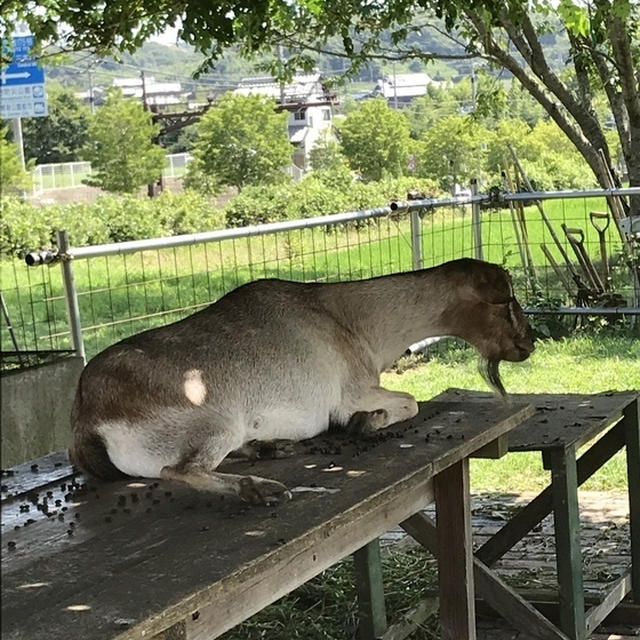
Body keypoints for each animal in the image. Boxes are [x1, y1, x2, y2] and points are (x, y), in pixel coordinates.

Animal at [69, 258, 536, 504]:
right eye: (507, 301)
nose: (529, 342)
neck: (352, 320)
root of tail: (85, 419)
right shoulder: (352, 392)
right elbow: (409, 401)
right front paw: (365, 422)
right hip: (215, 420)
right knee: (177, 469)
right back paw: (260, 488)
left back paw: (268, 446)